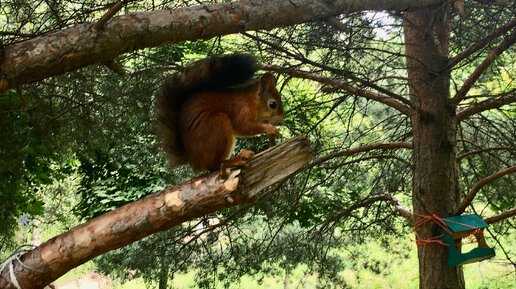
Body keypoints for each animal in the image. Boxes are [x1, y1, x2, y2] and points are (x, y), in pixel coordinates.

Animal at [157, 54, 286, 171]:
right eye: (272, 104)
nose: (281, 122)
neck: (251, 101)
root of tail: (192, 158)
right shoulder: (241, 110)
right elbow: (242, 126)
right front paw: (270, 129)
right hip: (217, 123)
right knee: (214, 165)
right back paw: (235, 160)